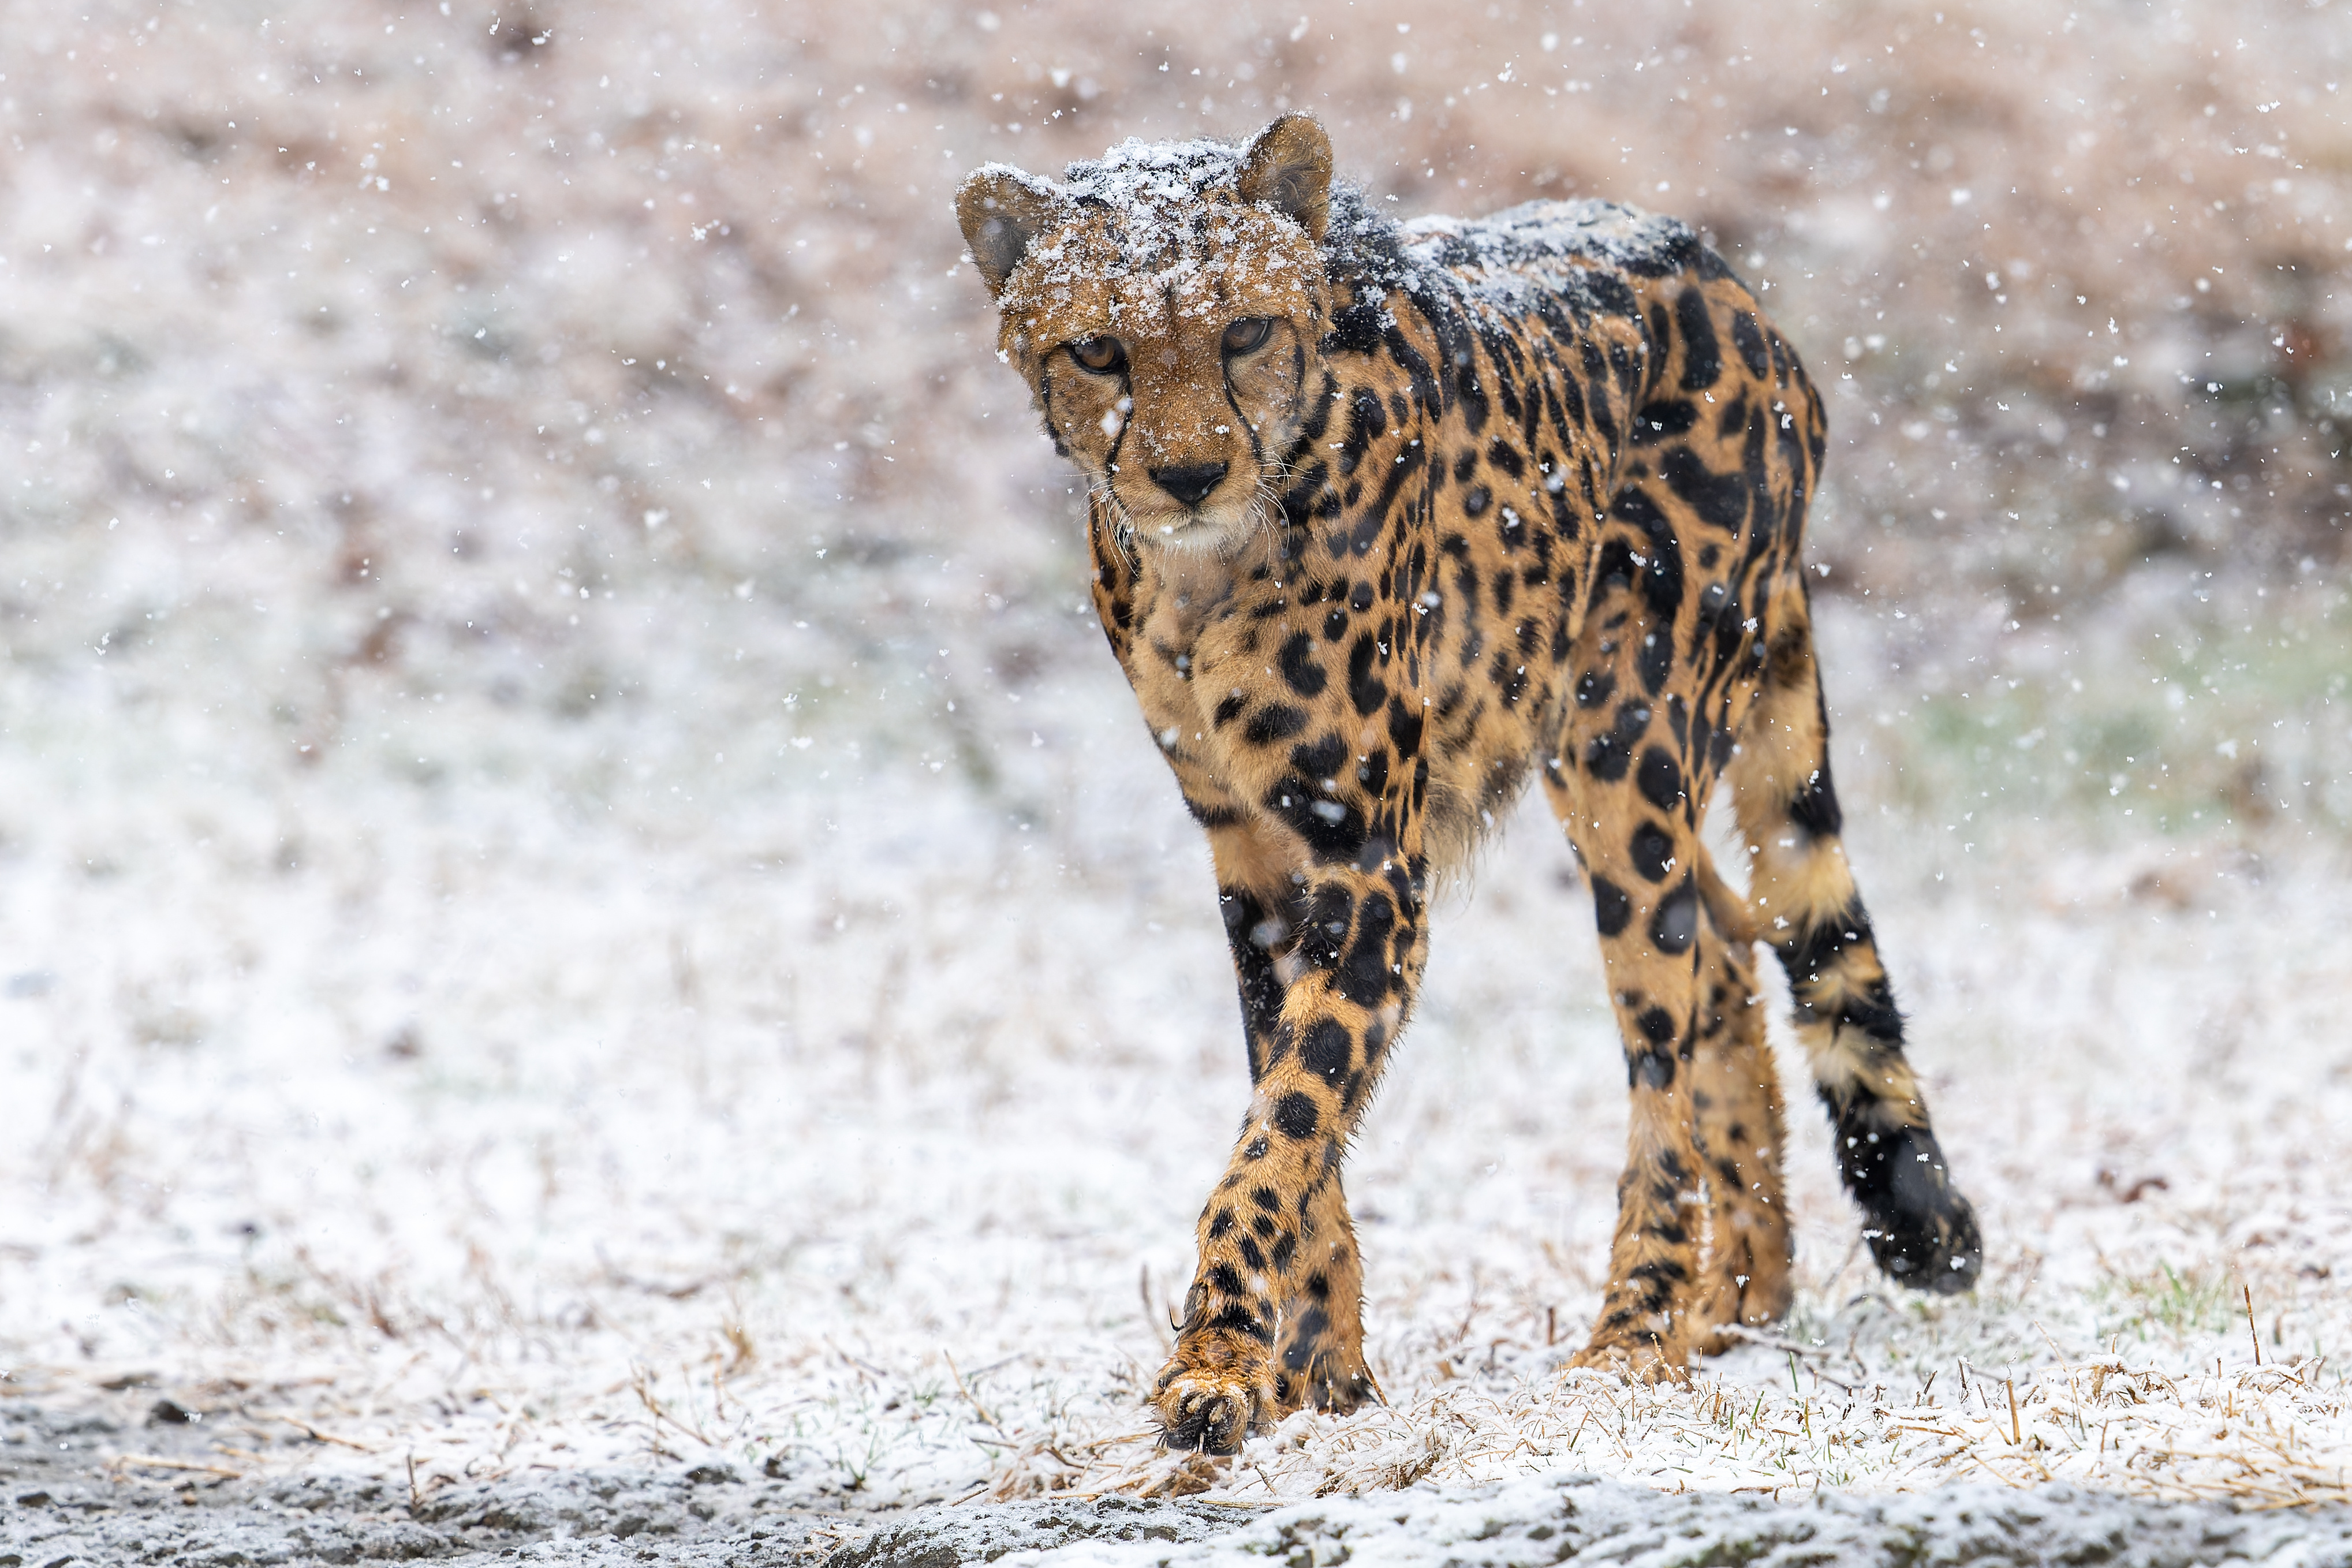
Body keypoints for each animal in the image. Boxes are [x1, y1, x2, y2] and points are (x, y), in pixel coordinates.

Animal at [955, 116, 1985, 1457]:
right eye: (1097, 350)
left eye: (1244, 332)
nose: (1188, 474)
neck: (1211, 573)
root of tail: (1721, 272)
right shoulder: (1253, 861)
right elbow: (1295, 1110)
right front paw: (1314, 1374)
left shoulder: (1370, 870)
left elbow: (1284, 1122)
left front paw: (1220, 1358)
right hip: (1590, 759)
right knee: (1723, 945)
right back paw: (1739, 1291)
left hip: (1626, 748)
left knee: (1661, 1040)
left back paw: (1636, 1333)